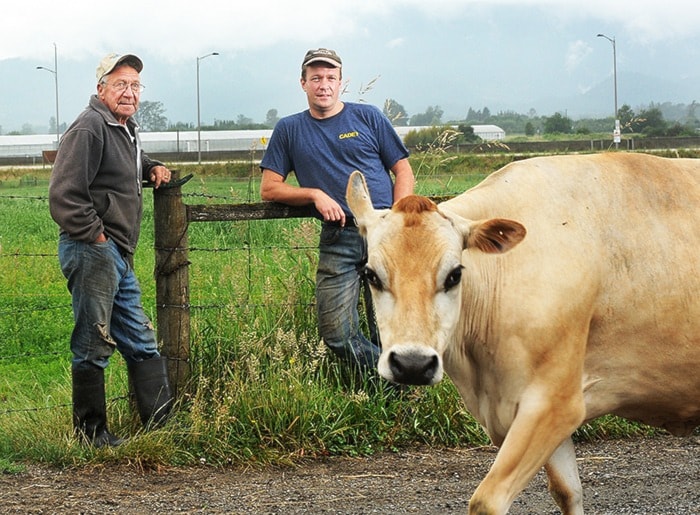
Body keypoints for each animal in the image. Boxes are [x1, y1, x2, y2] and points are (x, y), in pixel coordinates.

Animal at [346, 153, 700, 515]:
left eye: (455, 274)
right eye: (371, 274)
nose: (413, 364)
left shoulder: (556, 402)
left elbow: (488, 501)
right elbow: (567, 492)